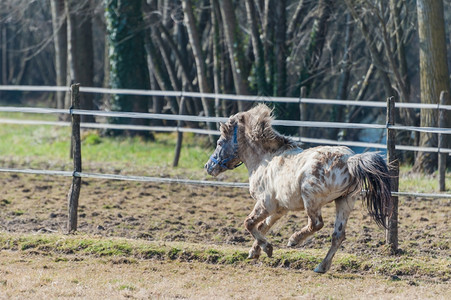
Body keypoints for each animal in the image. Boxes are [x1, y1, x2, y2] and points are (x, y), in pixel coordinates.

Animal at [205, 104, 392, 274]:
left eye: (220, 142)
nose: (208, 166)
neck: (265, 159)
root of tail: (349, 159)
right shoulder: (279, 209)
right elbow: (262, 227)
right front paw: (255, 252)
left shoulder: (265, 204)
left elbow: (249, 223)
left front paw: (267, 248)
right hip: (344, 201)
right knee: (337, 236)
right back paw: (321, 267)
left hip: (311, 199)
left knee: (316, 224)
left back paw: (294, 240)